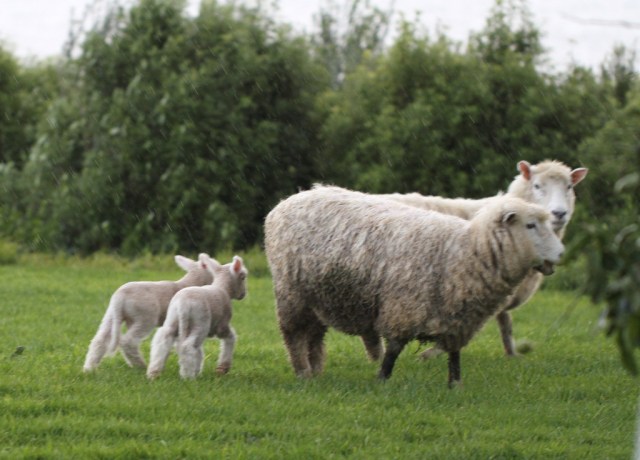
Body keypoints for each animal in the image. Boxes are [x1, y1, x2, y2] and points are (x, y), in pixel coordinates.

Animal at [82, 254, 213, 372]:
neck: (190, 282)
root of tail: (120, 297)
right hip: (145, 317)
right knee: (128, 341)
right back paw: (140, 365)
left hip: (111, 316)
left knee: (100, 340)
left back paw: (89, 368)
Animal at [264, 185, 564, 386]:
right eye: (530, 225)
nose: (561, 255)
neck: (467, 251)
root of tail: (288, 201)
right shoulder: (403, 308)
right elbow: (394, 350)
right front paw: (382, 380)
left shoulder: (458, 318)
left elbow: (454, 354)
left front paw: (454, 385)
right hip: (292, 294)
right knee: (294, 335)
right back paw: (302, 372)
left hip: (317, 298)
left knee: (315, 336)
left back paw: (316, 370)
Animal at [383, 160, 588, 357]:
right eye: (537, 185)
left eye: (569, 186)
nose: (559, 213)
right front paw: (429, 354)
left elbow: (506, 323)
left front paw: (512, 355)